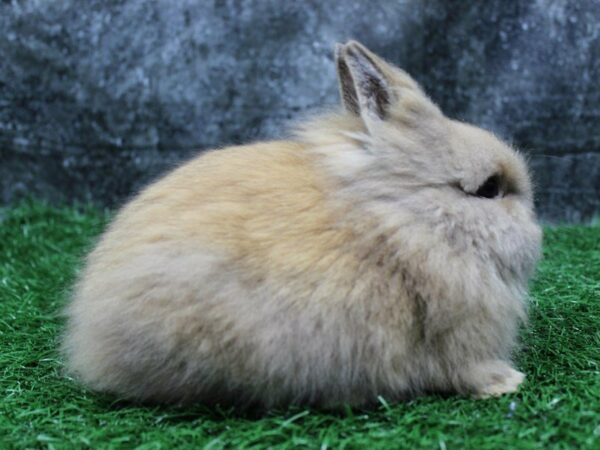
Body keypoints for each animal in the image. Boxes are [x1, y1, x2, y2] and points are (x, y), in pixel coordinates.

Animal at [62, 41, 544, 408]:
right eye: (488, 189)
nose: (536, 229)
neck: (405, 216)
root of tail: (91, 332)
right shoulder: (456, 335)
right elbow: (463, 369)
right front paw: (508, 382)